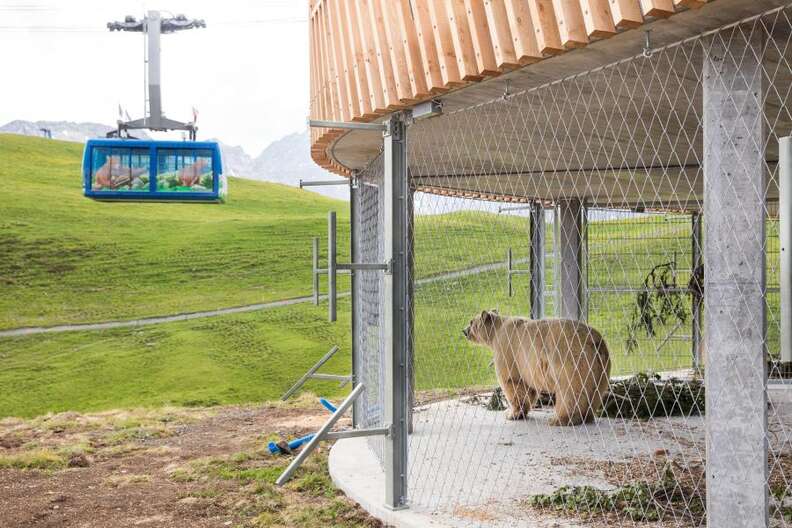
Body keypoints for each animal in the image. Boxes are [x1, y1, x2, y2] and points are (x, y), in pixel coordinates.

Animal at [464, 312, 612, 426]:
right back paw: (587, 416)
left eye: (471, 321)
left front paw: (512, 414)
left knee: (570, 391)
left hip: (570, 360)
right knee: (596, 391)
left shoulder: (507, 350)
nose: (464, 331)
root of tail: (595, 342)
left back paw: (560, 419)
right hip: (602, 367)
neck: (496, 331)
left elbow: (512, 381)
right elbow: (528, 389)